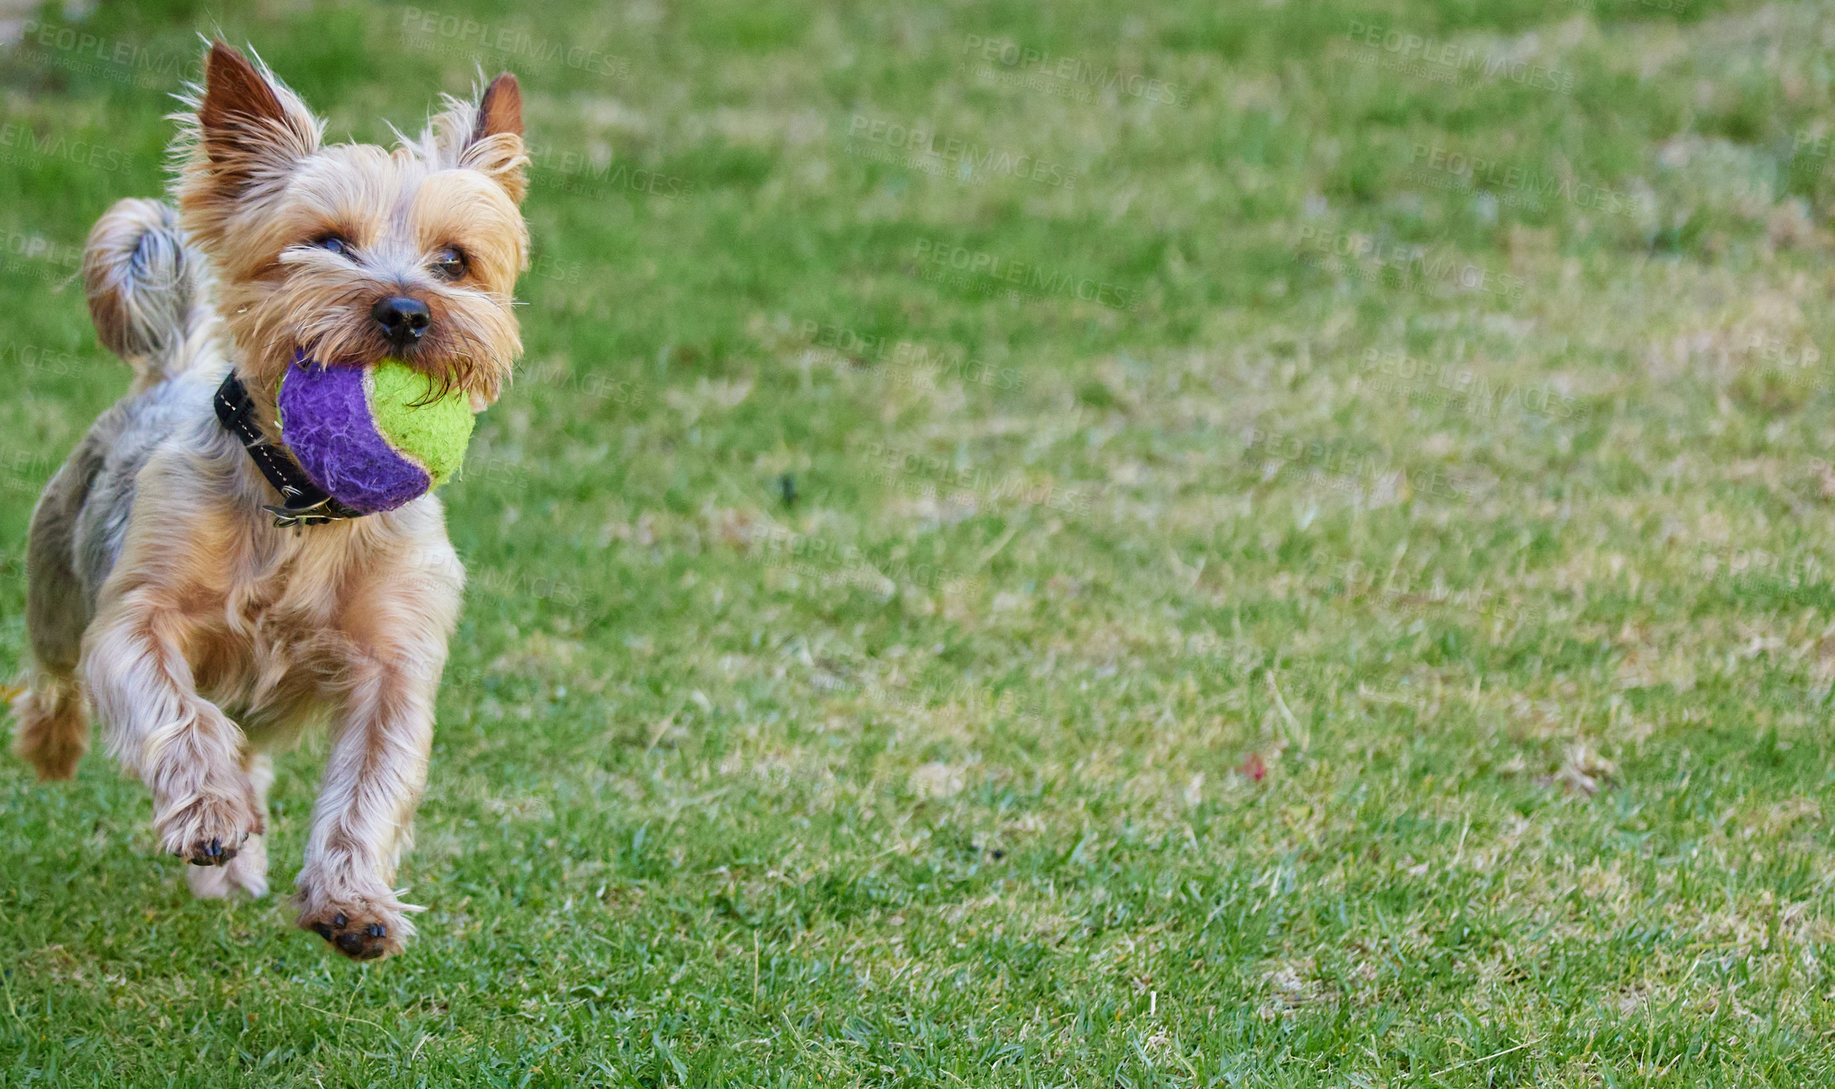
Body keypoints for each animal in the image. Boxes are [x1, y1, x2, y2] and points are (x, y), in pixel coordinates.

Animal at [14, 40, 528, 962]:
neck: (306, 502)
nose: (406, 310)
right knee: (53, 675)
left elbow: (372, 779)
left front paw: (350, 899)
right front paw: (208, 813)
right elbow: (172, 706)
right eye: (326, 243)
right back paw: (57, 745)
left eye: (455, 261)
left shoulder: (394, 663)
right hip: (58, 576)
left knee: (246, 746)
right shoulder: (138, 614)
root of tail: (173, 364)